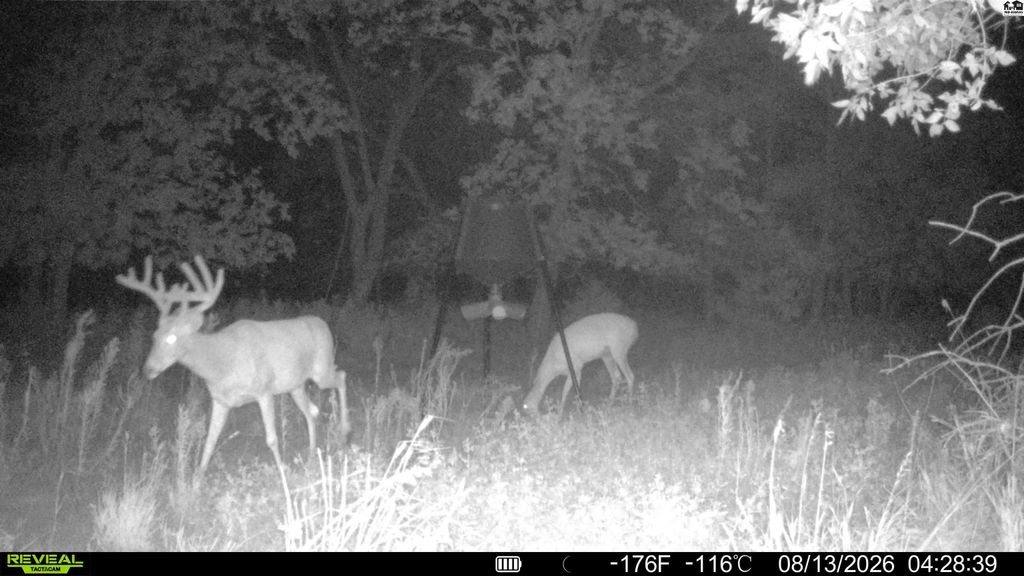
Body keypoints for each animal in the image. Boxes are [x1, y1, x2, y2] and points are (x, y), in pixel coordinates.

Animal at [117, 254, 348, 475]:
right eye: (154, 336)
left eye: (172, 338)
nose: (147, 370)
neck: (223, 365)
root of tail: (323, 323)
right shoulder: (220, 400)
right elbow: (209, 441)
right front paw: (196, 481)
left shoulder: (264, 390)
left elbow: (271, 438)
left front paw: (283, 471)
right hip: (295, 385)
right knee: (312, 411)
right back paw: (311, 453)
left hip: (322, 368)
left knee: (341, 376)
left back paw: (345, 430)